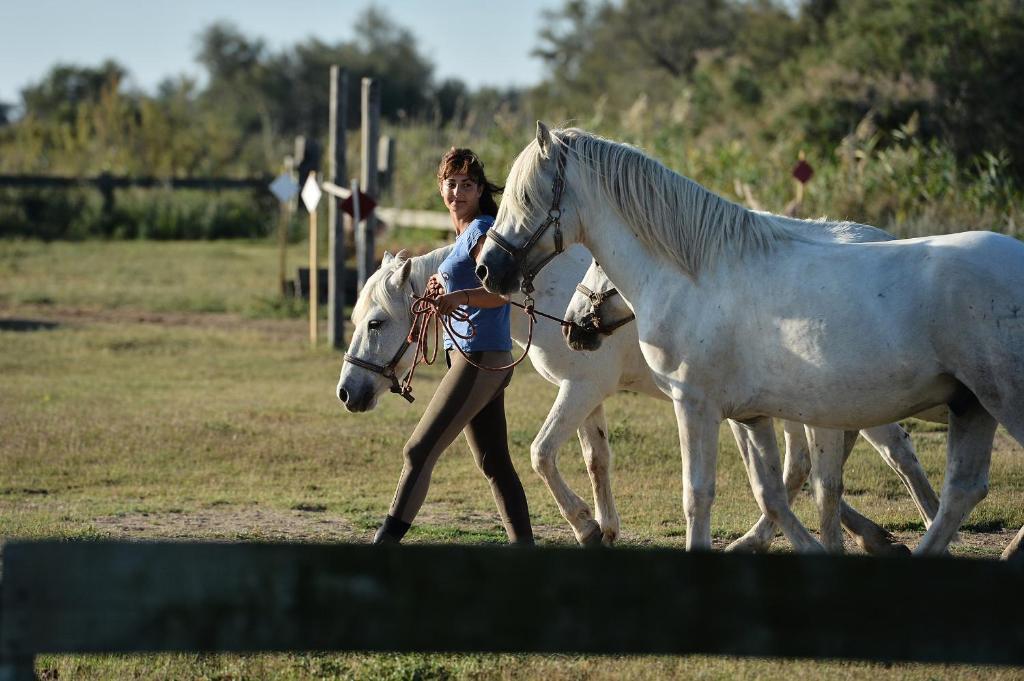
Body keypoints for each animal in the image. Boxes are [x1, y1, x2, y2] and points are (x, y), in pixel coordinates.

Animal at [477, 123, 1024, 557]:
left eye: (526, 198)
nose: (487, 267)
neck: (698, 276)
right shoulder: (750, 415)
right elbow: (771, 491)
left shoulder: (693, 404)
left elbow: (698, 494)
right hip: (969, 405)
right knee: (960, 491)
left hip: (990, 402)